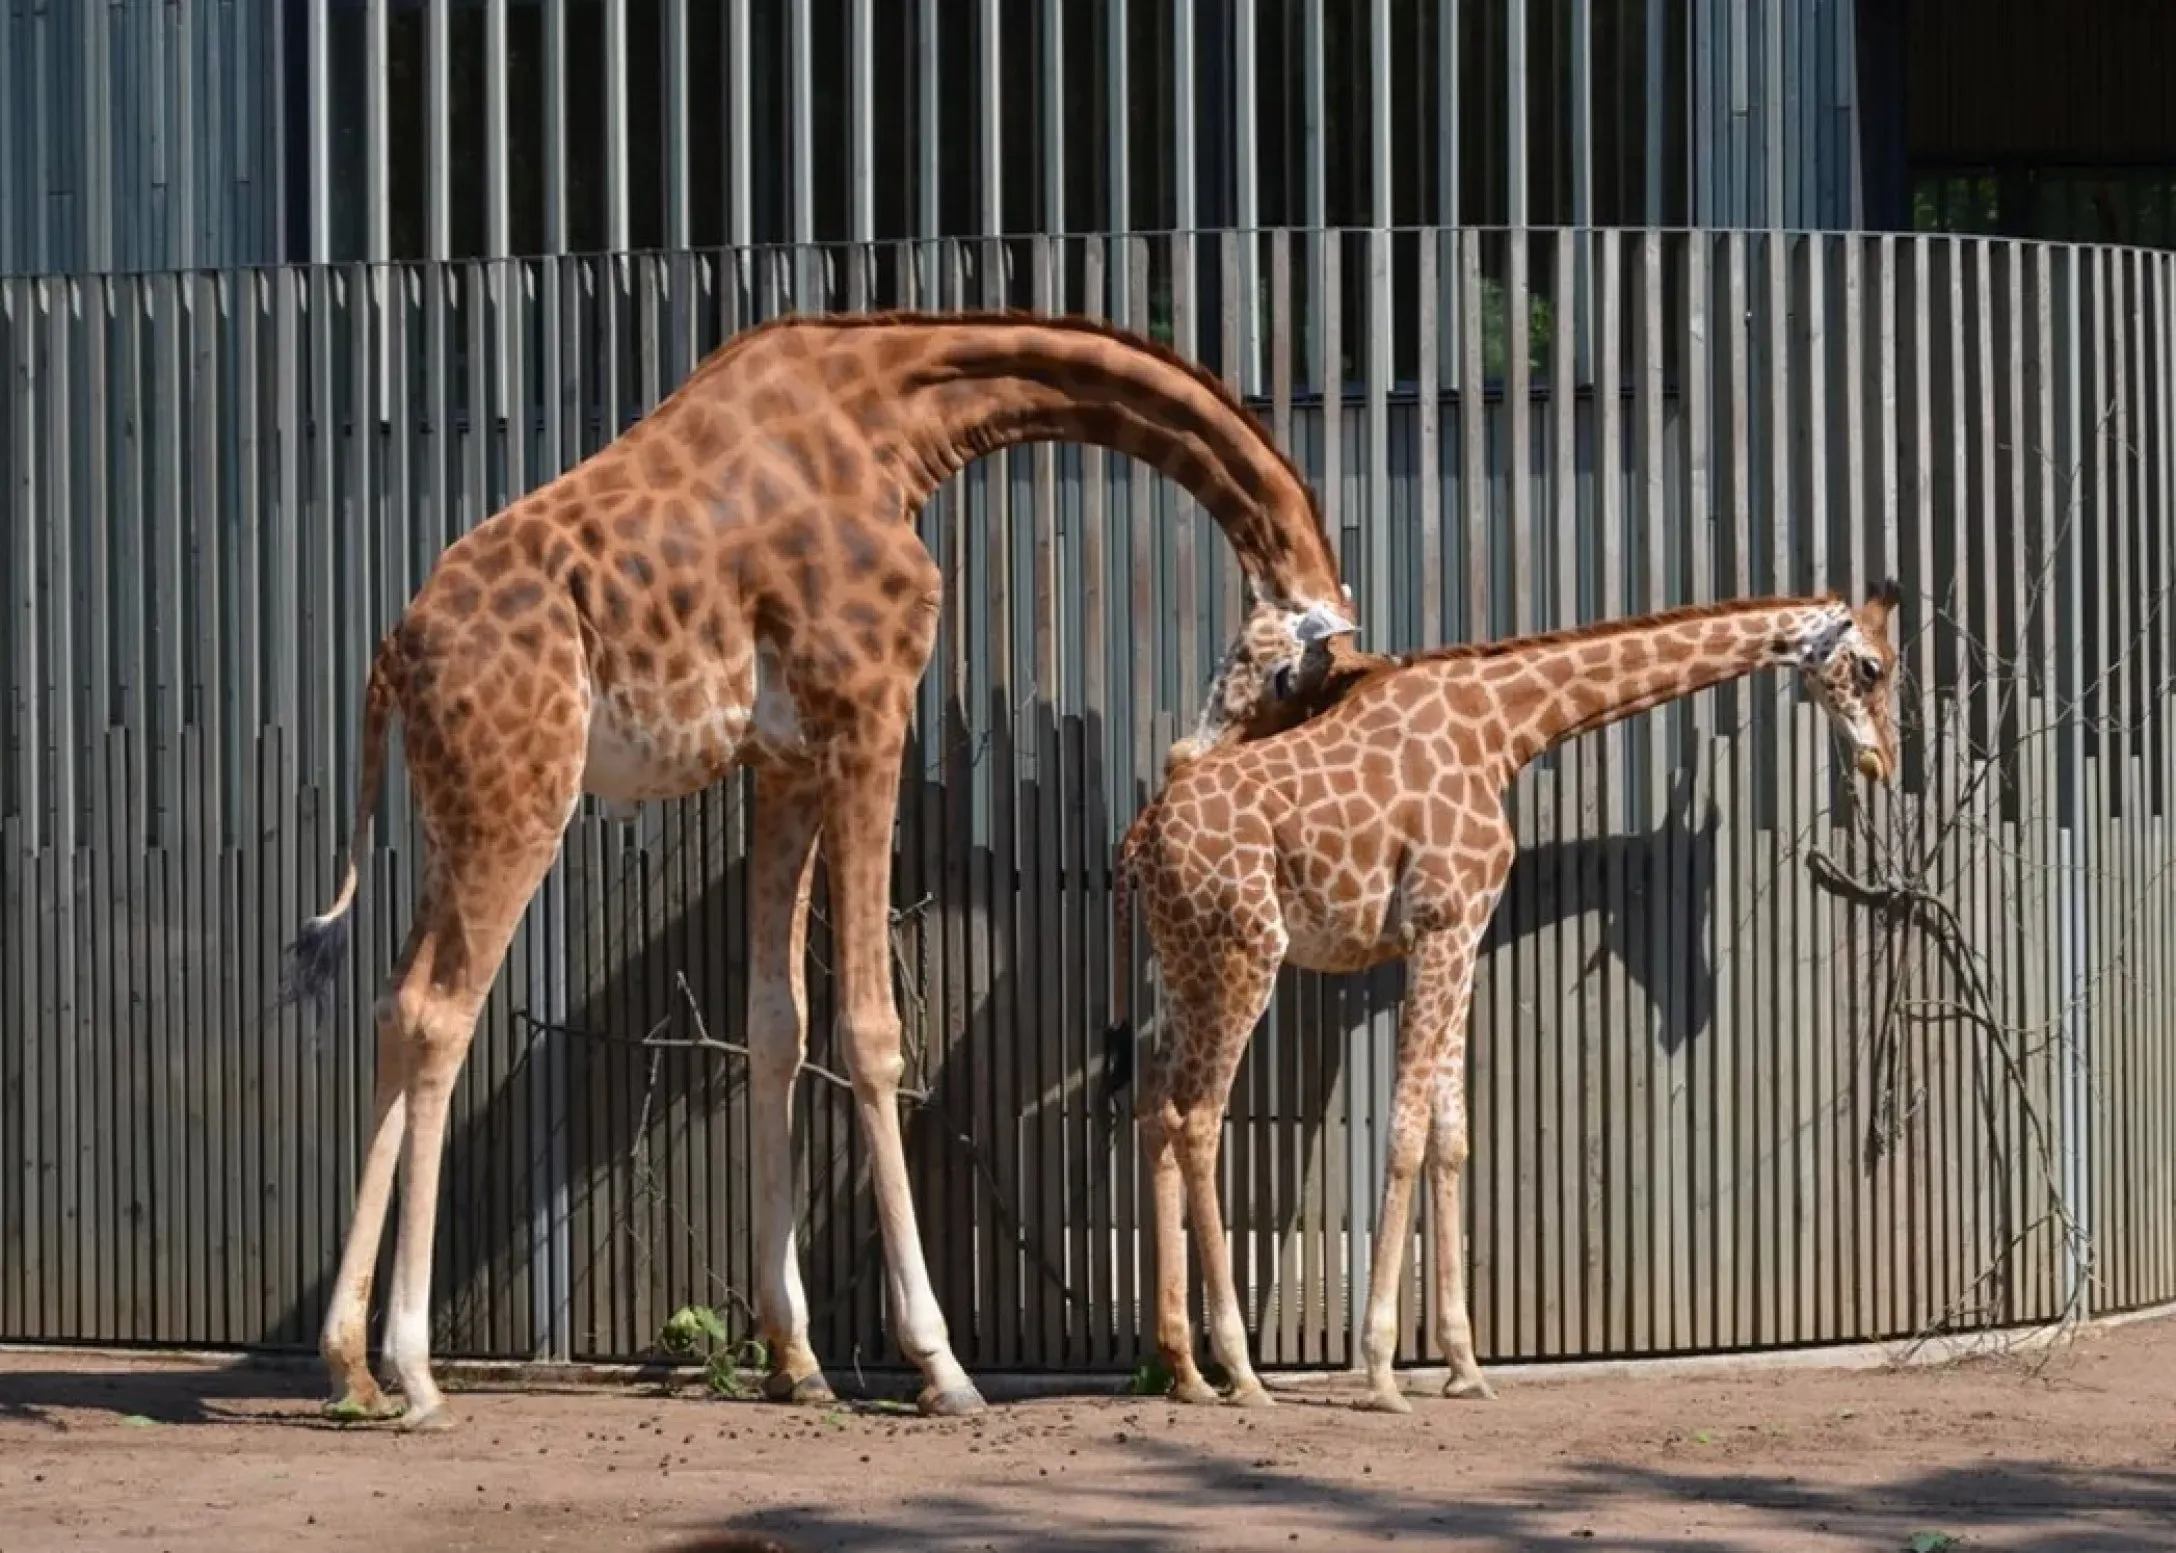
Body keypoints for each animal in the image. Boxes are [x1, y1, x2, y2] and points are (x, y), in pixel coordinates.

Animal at [278, 304, 1349, 1426]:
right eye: (1291, 677)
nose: (1191, 767)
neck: (899, 416)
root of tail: (392, 657)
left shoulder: (783, 760)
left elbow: (777, 1025)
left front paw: (797, 1358)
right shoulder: (869, 709)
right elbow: (872, 1033)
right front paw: (940, 1363)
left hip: (457, 814)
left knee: (392, 1004)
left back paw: (349, 1364)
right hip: (519, 798)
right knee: (439, 1012)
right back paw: (414, 1369)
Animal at [1114, 578, 1897, 1400]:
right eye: (1873, 667)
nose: (1884, 760)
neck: (1503, 727)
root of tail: (1142, 840)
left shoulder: (1462, 936)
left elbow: (1449, 1138)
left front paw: (1464, 1365)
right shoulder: (1442, 923)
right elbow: (1403, 1132)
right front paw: (1383, 1369)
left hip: (1185, 965)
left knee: (1153, 1105)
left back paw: (1185, 1368)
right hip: (1245, 954)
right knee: (1199, 1117)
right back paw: (1241, 1369)